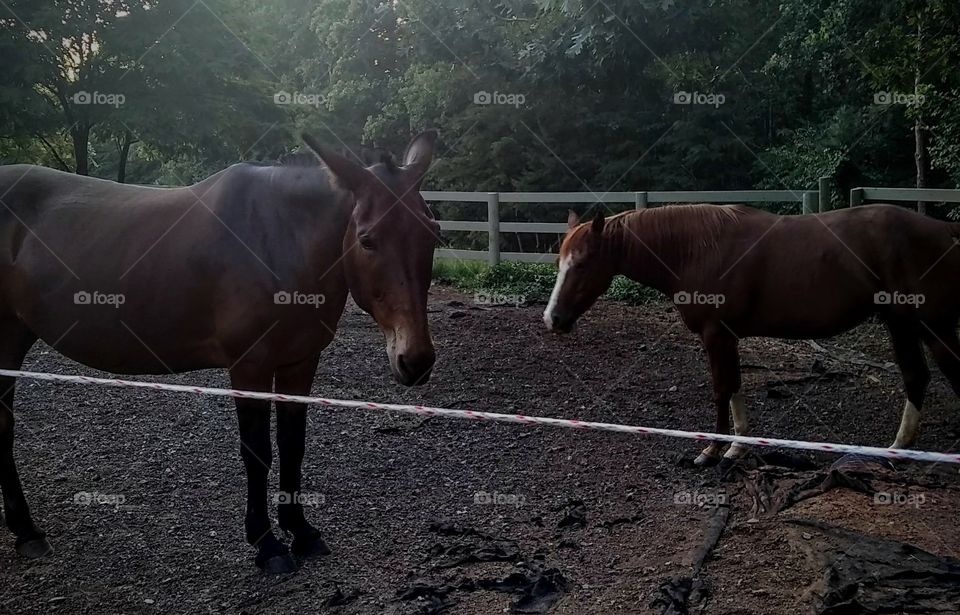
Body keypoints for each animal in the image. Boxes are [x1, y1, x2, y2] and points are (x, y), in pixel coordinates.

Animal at [0, 131, 440, 573]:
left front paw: (301, 531)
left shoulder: (299, 362)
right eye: (367, 239)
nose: (416, 360)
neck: (279, 237)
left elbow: (292, 445)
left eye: (433, 233)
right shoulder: (249, 367)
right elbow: (257, 451)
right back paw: (27, 531)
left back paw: (25, 530)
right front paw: (267, 544)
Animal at [544, 204, 960, 465]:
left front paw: (712, 451)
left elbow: (721, 390)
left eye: (582, 263)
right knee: (915, 377)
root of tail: (947, 231)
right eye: (560, 261)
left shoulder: (715, 334)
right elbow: (735, 387)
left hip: (933, 327)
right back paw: (899, 448)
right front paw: (736, 447)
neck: (696, 249)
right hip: (900, 324)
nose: (553, 319)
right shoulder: (727, 336)